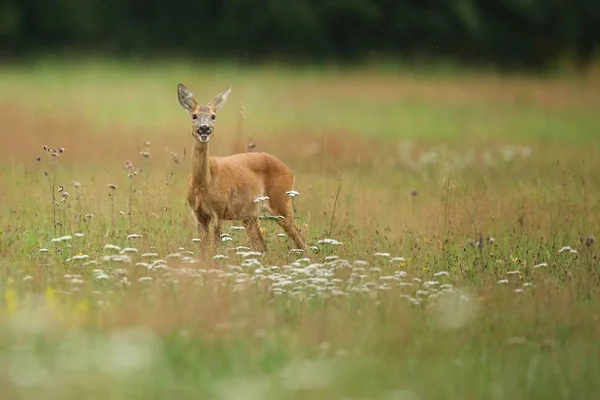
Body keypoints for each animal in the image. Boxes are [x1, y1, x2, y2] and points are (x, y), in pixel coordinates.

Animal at [176, 84, 308, 258]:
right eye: (194, 116)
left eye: (213, 116)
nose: (204, 129)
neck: (203, 184)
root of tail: (289, 170)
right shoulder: (198, 215)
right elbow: (204, 251)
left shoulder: (219, 211)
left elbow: (214, 249)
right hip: (250, 215)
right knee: (262, 246)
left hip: (281, 201)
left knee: (300, 236)